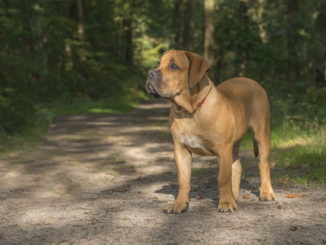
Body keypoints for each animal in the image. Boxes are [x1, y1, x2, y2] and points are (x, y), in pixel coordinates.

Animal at [146, 49, 276, 212]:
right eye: (159, 63)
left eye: (173, 66)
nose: (150, 73)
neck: (190, 110)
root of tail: (252, 81)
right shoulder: (181, 150)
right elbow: (183, 179)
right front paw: (180, 203)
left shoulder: (223, 149)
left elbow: (223, 178)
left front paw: (226, 203)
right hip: (234, 144)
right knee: (237, 166)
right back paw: (234, 195)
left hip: (261, 133)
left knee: (263, 164)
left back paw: (266, 193)